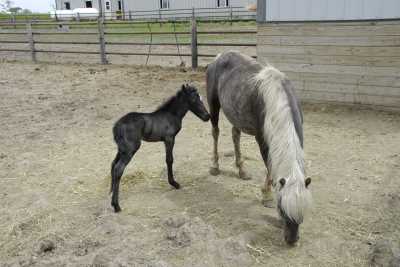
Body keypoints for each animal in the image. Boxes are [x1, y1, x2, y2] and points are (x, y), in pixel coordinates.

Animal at [109, 84, 209, 214]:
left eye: (200, 98)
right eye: (193, 99)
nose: (207, 116)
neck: (171, 115)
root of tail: (117, 126)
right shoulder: (169, 139)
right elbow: (169, 160)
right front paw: (174, 183)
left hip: (122, 149)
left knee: (113, 164)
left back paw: (111, 196)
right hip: (130, 149)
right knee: (118, 169)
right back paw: (116, 206)